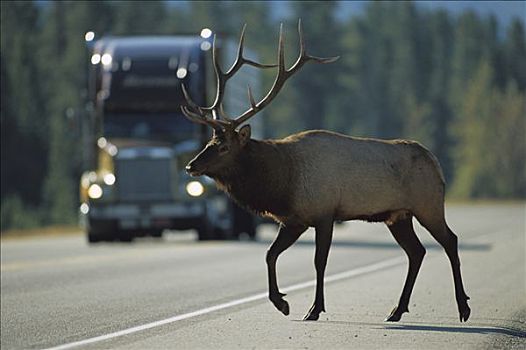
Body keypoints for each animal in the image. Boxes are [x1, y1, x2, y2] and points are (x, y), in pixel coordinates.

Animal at [183, 21, 474, 322]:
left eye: (224, 146)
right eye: (209, 142)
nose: (191, 165)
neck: (283, 181)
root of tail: (435, 162)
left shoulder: (324, 214)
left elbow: (318, 262)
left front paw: (314, 309)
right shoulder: (294, 220)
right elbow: (270, 254)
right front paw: (282, 303)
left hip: (428, 204)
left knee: (450, 241)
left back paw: (463, 307)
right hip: (398, 215)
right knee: (417, 252)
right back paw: (396, 310)